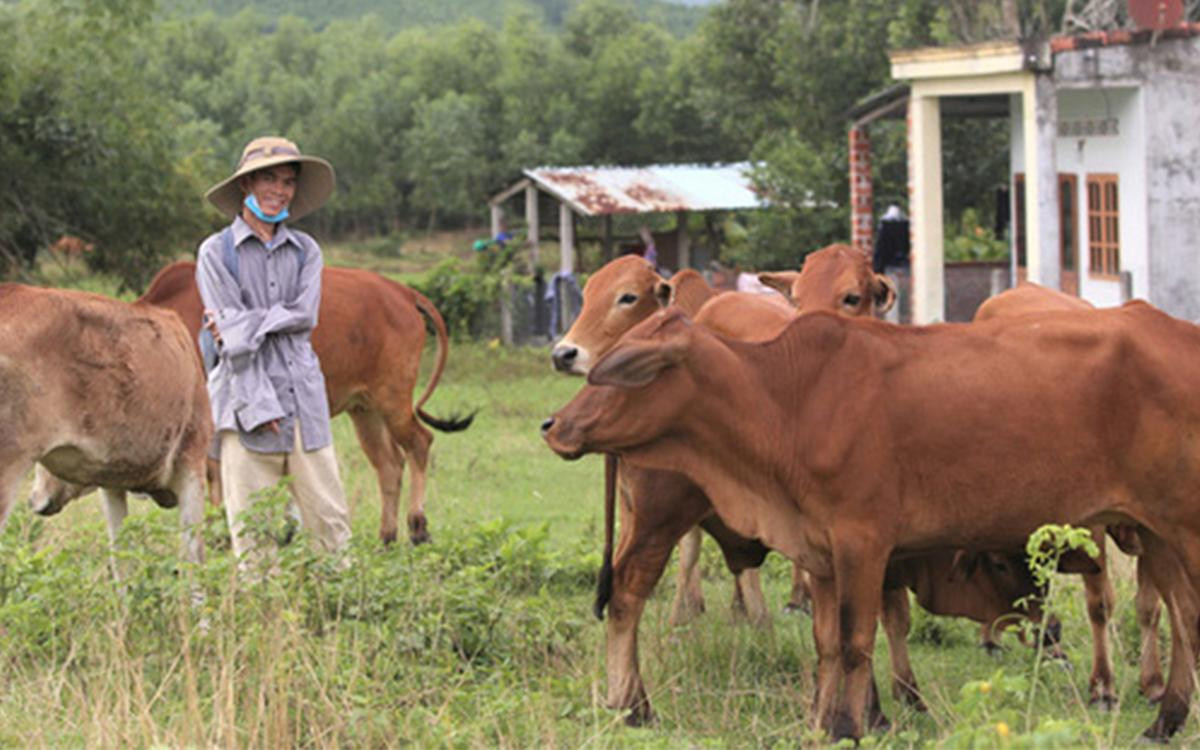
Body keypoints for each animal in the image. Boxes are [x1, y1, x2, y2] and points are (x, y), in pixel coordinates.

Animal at [141, 261, 472, 544]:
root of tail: (403, 292)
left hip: (393, 399)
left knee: (420, 442)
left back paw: (418, 526)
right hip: (364, 409)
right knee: (389, 464)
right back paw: (386, 538)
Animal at [547, 301, 1200, 739]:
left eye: (627, 373)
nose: (554, 425)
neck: (788, 399)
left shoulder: (862, 542)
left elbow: (857, 642)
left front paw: (849, 724)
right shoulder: (820, 551)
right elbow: (827, 644)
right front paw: (827, 721)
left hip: (1182, 527)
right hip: (1159, 532)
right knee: (1184, 616)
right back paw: (1166, 718)